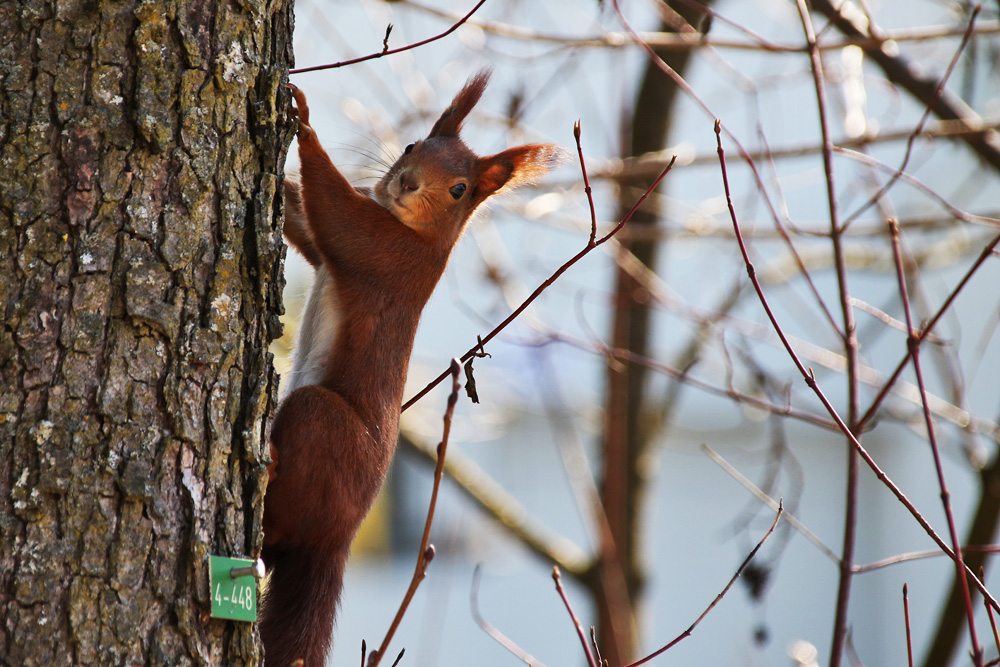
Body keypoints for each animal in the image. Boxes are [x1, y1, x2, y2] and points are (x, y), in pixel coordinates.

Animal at [258, 69, 560, 667]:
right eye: (411, 145)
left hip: (322, 426)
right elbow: (308, 227)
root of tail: (338, 541)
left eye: (459, 189)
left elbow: (335, 213)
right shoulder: (340, 249)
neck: (421, 233)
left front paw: (303, 119)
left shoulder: (389, 255)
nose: (407, 183)